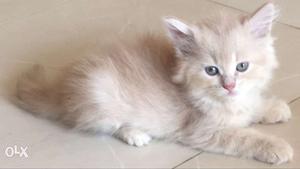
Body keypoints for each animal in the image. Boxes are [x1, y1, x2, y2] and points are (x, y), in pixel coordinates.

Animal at [16, 1, 292, 164]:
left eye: (241, 66)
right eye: (211, 70)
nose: (229, 86)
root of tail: (61, 90)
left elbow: (254, 105)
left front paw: (275, 108)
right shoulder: (202, 132)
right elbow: (244, 137)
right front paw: (278, 147)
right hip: (100, 94)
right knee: (107, 125)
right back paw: (136, 134)